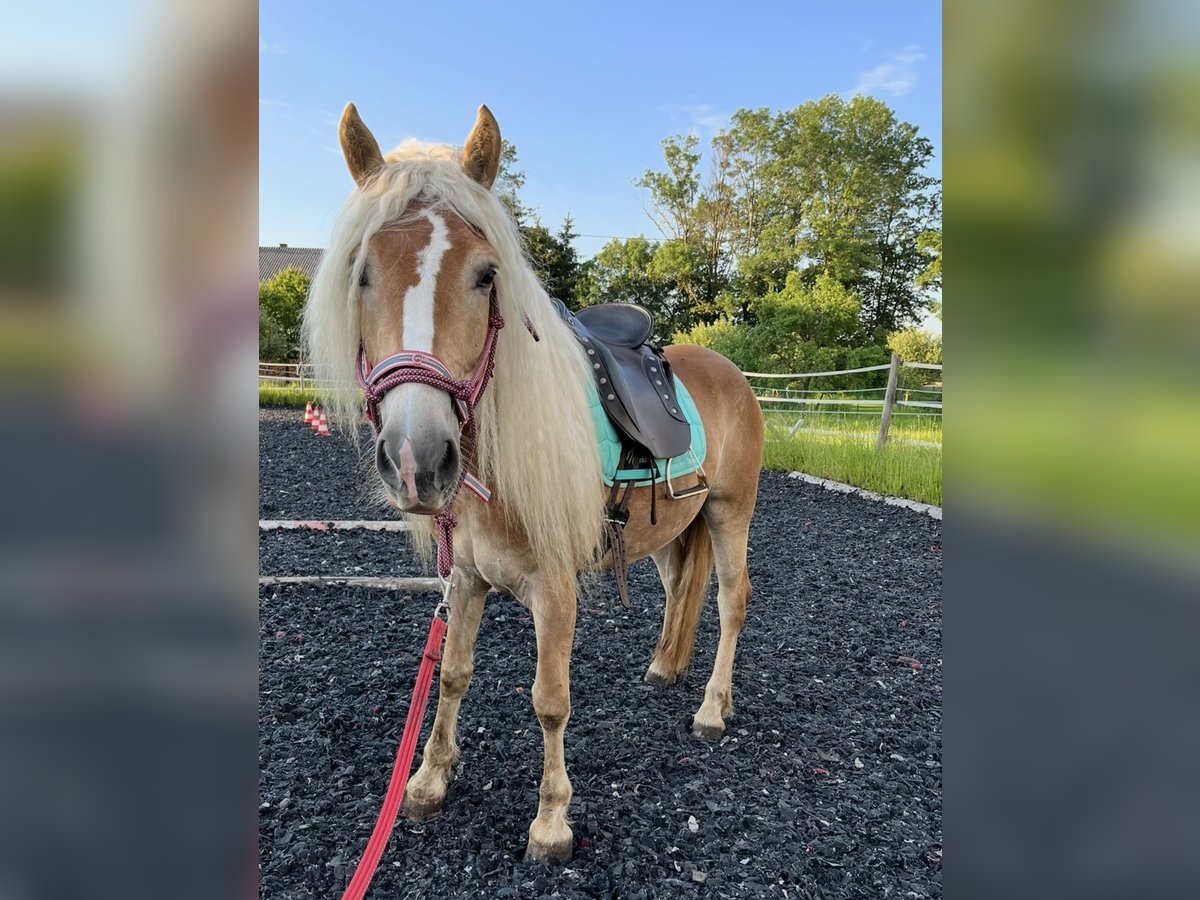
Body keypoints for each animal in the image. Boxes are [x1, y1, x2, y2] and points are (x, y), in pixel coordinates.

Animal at [304, 102, 763, 864]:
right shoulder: (464, 581)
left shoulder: (555, 590)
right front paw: (428, 781)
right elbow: (452, 675)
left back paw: (710, 710)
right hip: (676, 526)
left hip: (731, 513)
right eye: (361, 273)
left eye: (486, 274)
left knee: (731, 602)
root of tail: (730, 370)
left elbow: (550, 701)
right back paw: (663, 669)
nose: (417, 458)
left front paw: (552, 822)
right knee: (680, 590)